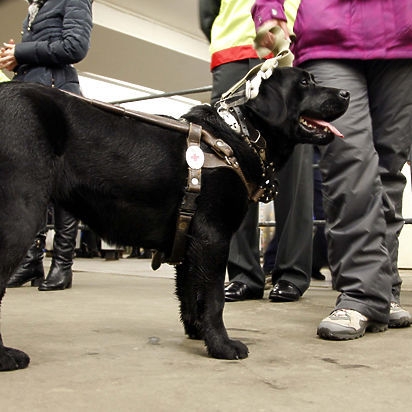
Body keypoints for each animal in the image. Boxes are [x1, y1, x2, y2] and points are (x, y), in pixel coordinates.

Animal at [0, 67, 348, 370]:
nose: (346, 93)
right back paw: (5, 357)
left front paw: (197, 331)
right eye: (304, 82)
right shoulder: (212, 234)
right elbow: (213, 297)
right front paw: (221, 345)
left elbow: (189, 290)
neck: (238, 136)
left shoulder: (190, 236)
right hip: (20, 213)